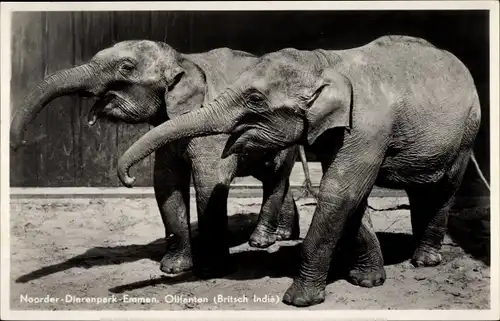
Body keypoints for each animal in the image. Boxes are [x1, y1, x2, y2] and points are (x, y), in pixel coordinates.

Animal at [9, 40, 316, 278]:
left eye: (126, 67)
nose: (17, 144)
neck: (184, 59)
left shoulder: (213, 127)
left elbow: (209, 183)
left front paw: (213, 269)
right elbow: (166, 184)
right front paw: (172, 269)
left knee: (275, 177)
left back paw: (261, 242)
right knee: (273, 177)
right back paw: (283, 236)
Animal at [112, 35, 488, 304]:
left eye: (255, 100)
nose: (127, 178)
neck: (327, 61)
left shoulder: (368, 128)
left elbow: (340, 191)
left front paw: (298, 300)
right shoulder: (337, 131)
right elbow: (352, 197)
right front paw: (367, 281)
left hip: (466, 135)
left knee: (444, 190)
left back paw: (424, 261)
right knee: (421, 190)